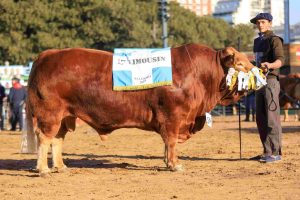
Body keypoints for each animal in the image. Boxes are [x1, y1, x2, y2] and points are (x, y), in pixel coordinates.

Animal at [26, 43, 255, 176]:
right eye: (240, 65)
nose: (260, 70)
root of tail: (47, 55)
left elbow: (167, 143)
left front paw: (167, 161)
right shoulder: (173, 117)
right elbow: (171, 142)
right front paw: (174, 164)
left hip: (64, 116)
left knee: (57, 139)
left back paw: (60, 166)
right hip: (50, 113)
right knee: (45, 137)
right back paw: (43, 169)